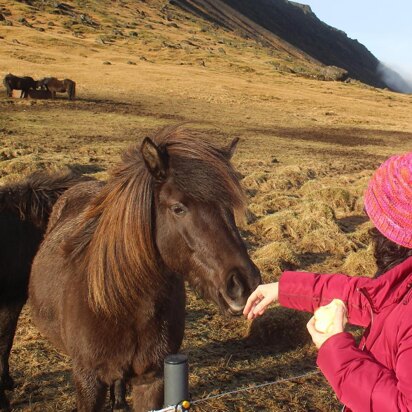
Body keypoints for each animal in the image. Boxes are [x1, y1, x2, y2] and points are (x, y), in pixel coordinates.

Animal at [29, 126, 260, 412]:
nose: (244, 284)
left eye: (228, 207)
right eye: (178, 208)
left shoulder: (152, 379)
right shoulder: (88, 381)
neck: (122, 306)